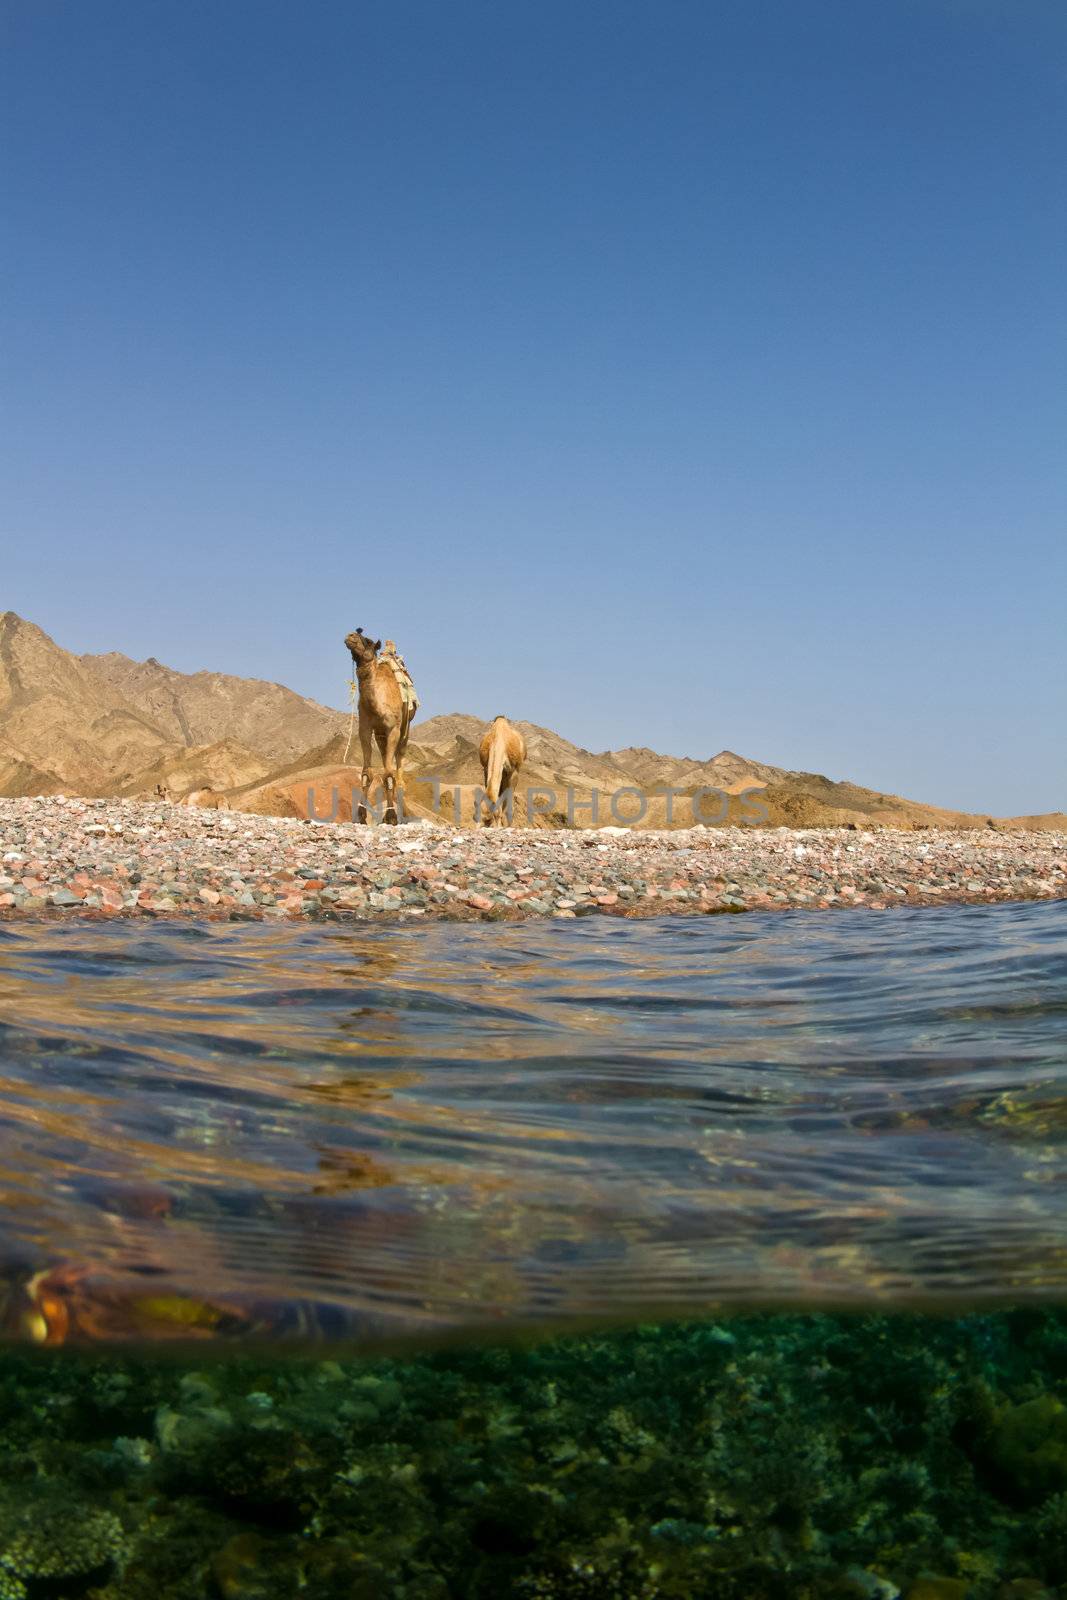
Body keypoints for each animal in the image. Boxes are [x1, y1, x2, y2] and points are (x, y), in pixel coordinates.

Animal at [347, 627, 422, 825]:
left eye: (367, 640)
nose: (350, 636)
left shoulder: (393, 729)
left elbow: (389, 774)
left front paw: (391, 816)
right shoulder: (365, 729)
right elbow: (367, 773)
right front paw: (361, 816)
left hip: (404, 731)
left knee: (399, 769)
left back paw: (403, 815)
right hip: (381, 736)